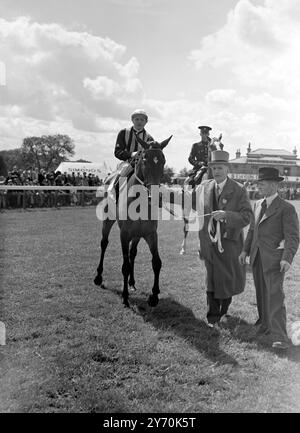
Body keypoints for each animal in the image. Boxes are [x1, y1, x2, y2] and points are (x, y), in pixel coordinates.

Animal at [94, 133, 173, 306]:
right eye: (144, 159)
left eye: (163, 160)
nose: (155, 195)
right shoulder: (124, 234)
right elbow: (124, 265)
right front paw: (125, 297)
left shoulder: (150, 234)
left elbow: (156, 262)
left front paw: (154, 296)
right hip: (108, 221)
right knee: (104, 243)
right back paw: (98, 277)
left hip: (137, 234)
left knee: (133, 253)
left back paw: (131, 282)